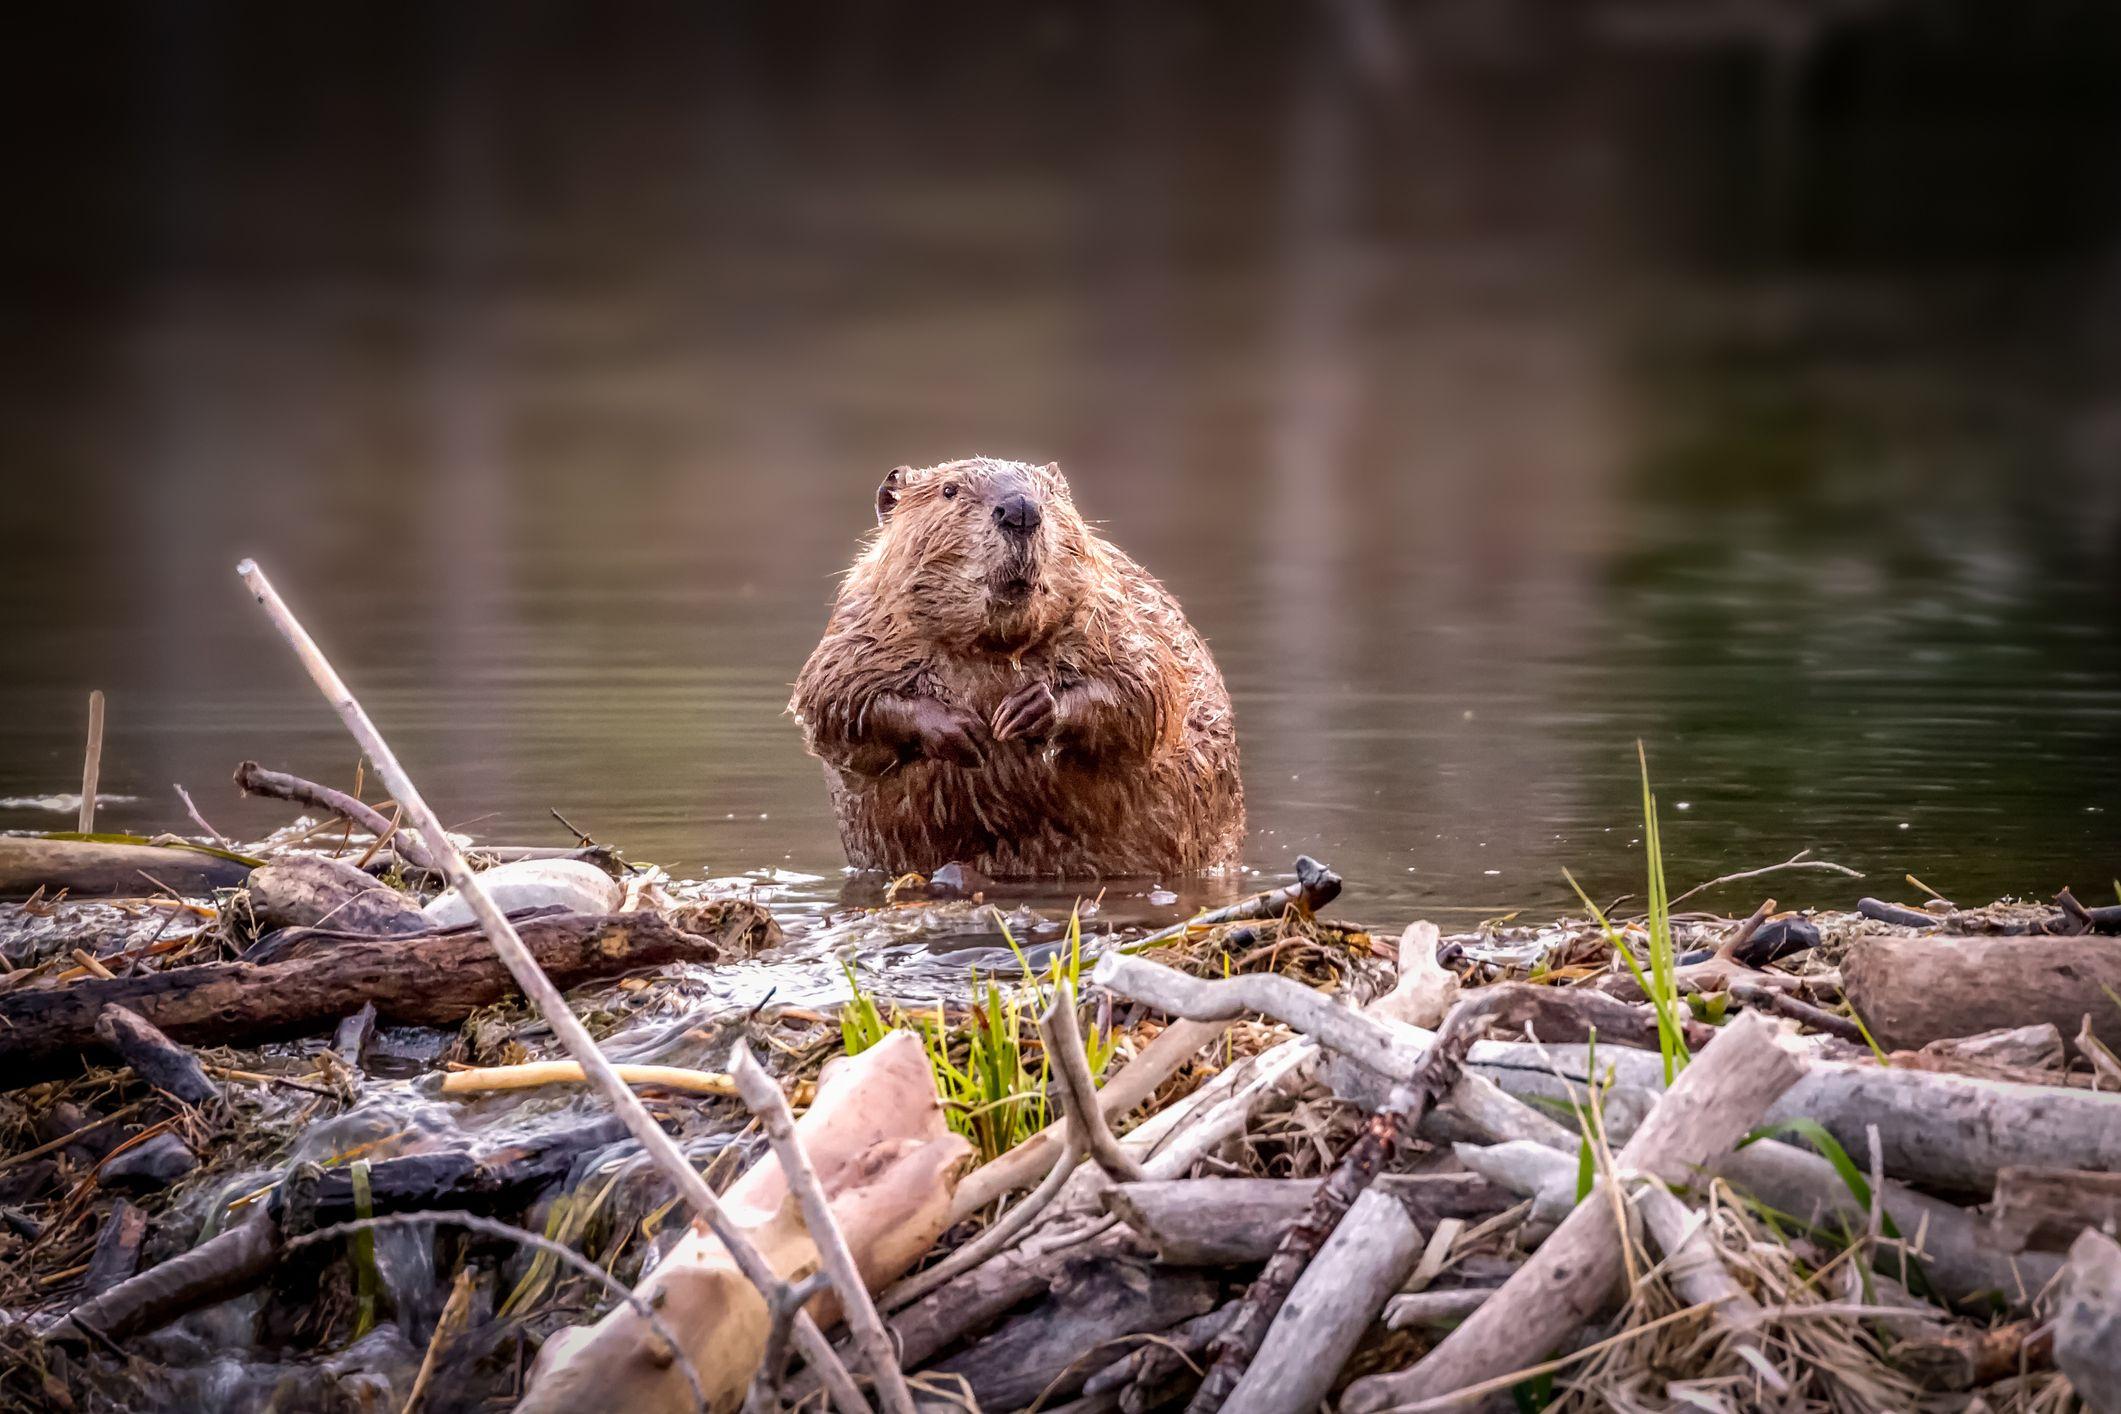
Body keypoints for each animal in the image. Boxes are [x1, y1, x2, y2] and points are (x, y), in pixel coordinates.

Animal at [793, 460, 1238, 877]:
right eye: (949, 490)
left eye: (1049, 493)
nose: (1021, 509)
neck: (994, 647)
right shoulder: (859, 626)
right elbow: (834, 702)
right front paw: (962, 728)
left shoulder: (1115, 613)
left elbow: (1147, 691)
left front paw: (1025, 711)